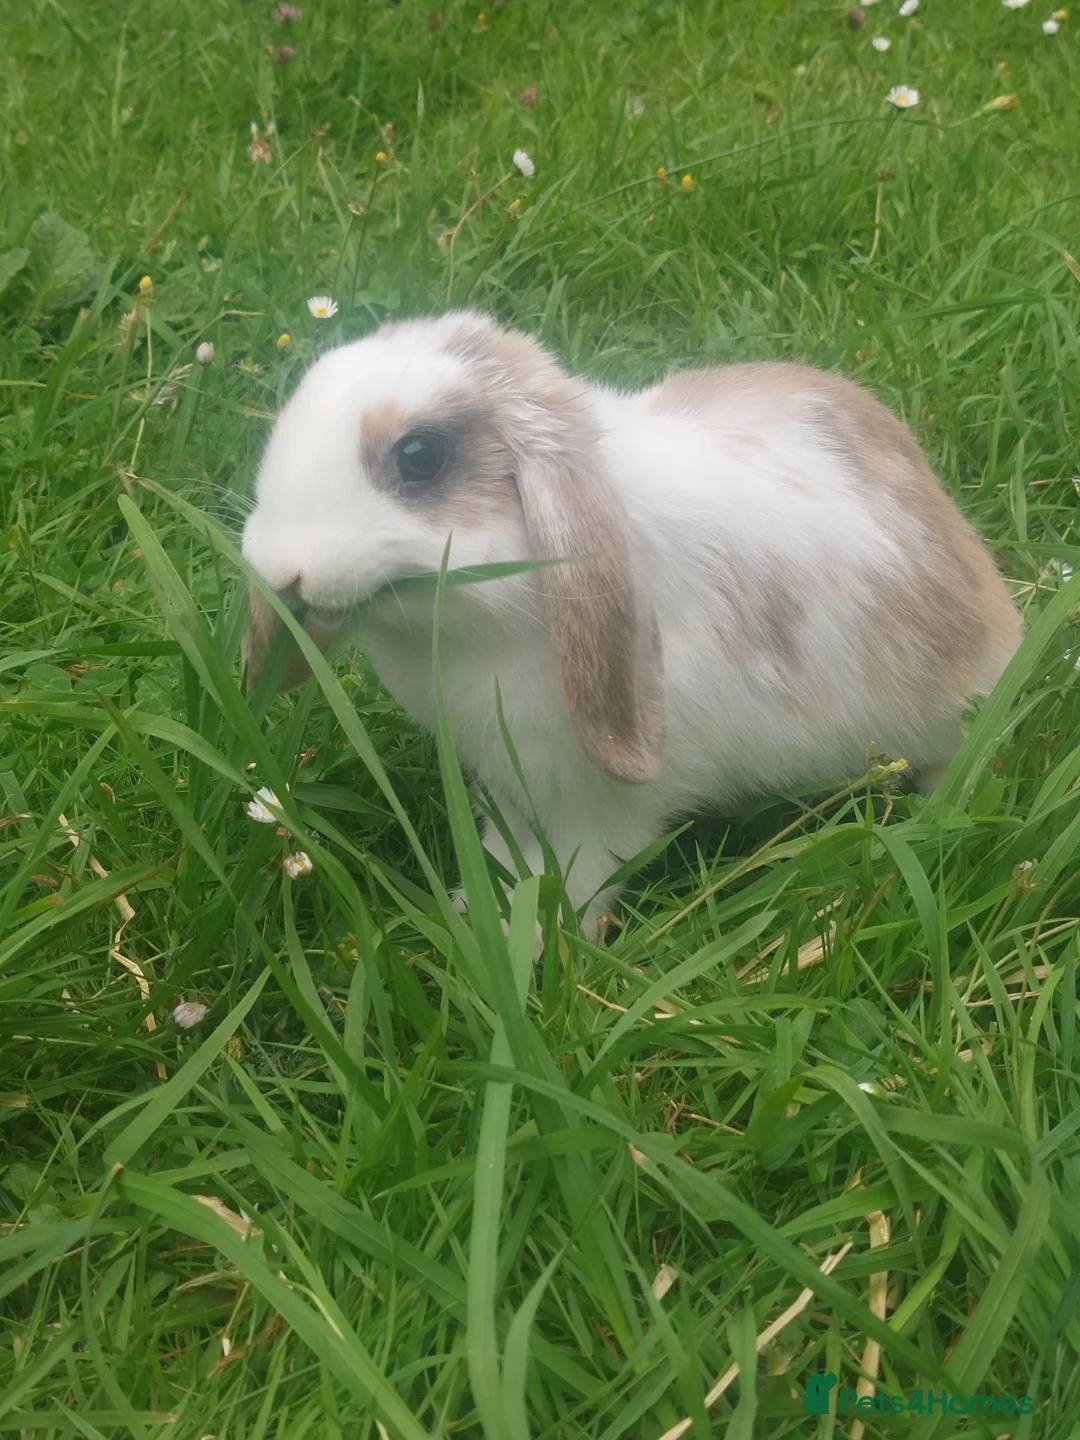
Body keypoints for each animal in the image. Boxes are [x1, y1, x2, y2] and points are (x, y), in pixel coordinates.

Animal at [240, 310, 1022, 940]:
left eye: (420, 457)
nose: (279, 570)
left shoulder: (601, 812)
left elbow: (572, 880)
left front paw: (531, 942)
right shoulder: (510, 787)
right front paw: (475, 906)